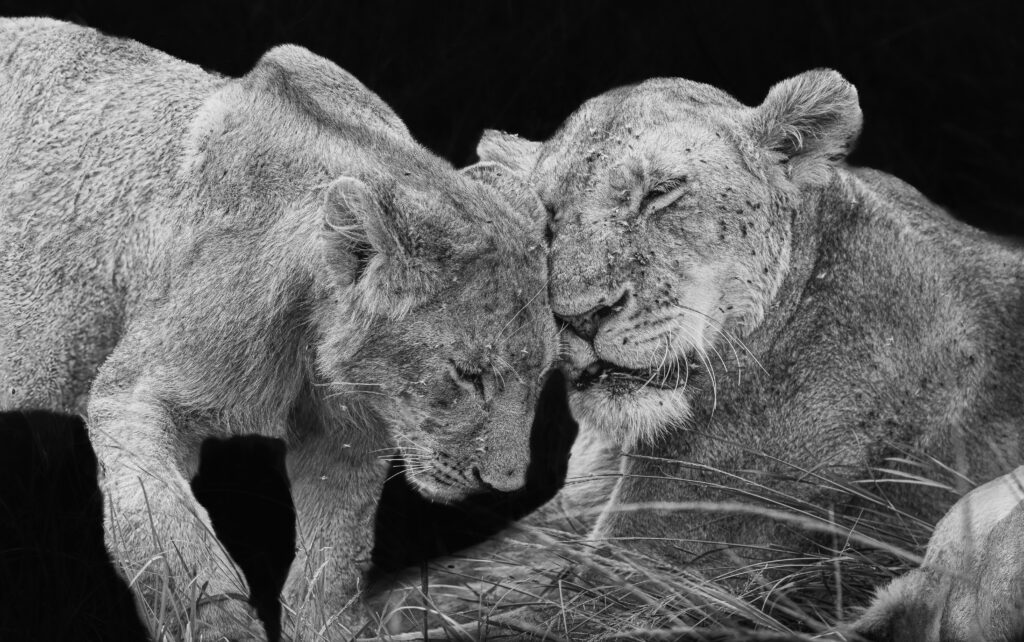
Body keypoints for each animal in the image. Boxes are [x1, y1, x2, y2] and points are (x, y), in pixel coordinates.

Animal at [0, 18, 557, 640]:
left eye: (544, 376)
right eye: (467, 375)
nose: (505, 486)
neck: (311, 340)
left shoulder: (350, 439)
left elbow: (332, 562)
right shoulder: (132, 395)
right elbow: (170, 534)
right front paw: (219, 625)